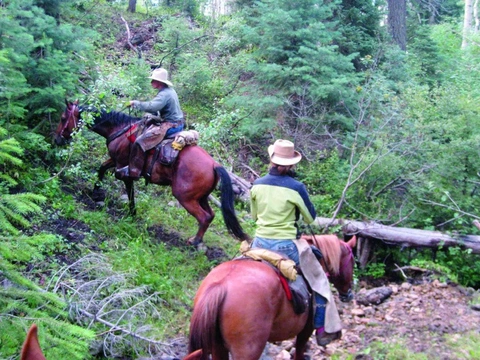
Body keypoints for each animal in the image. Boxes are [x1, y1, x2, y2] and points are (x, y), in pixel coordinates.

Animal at [54, 102, 248, 248]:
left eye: (63, 118)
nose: (57, 139)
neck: (120, 129)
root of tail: (215, 165)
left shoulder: (122, 165)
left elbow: (127, 184)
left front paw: (132, 211)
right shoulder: (115, 160)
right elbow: (102, 169)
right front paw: (96, 193)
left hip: (185, 197)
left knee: (204, 217)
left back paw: (195, 241)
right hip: (201, 197)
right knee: (211, 215)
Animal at [184, 233, 356, 360]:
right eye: (353, 262)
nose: (348, 294)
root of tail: (220, 286)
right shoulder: (306, 330)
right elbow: (300, 351)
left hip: (217, 346)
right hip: (247, 349)